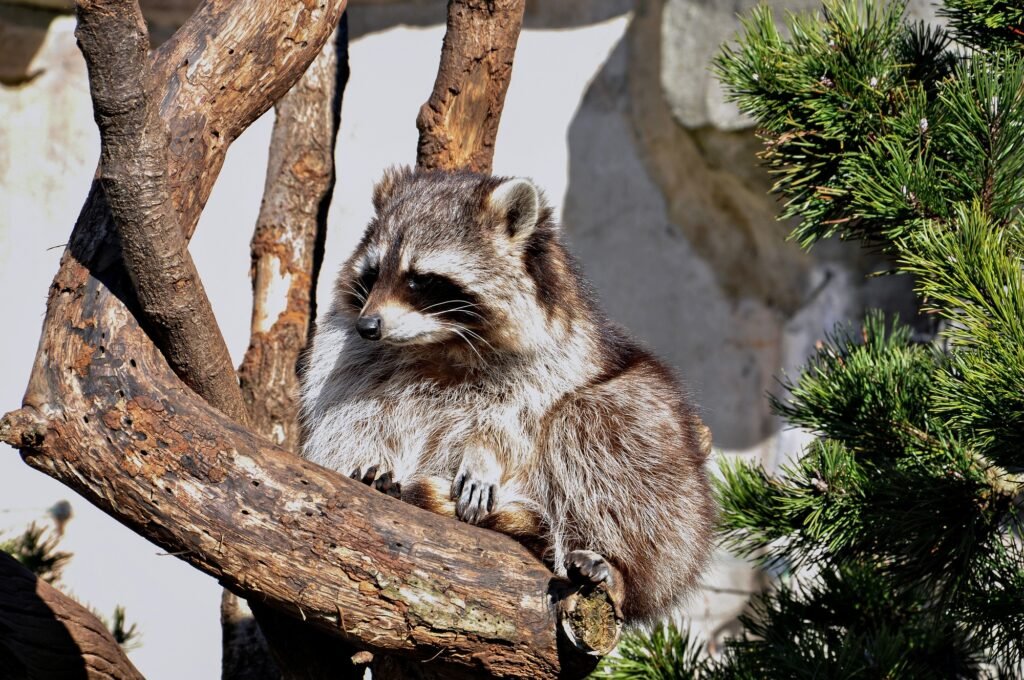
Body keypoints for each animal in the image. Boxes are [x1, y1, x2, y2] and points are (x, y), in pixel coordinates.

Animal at [299, 167, 714, 623]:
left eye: (420, 280)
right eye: (373, 275)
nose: (368, 326)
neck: (440, 344)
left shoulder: (557, 360)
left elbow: (518, 420)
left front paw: (485, 455)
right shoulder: (350, 357)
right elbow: (351, 413)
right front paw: (370, 461)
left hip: (670, 474)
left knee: (596, 421)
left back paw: (621, 570)